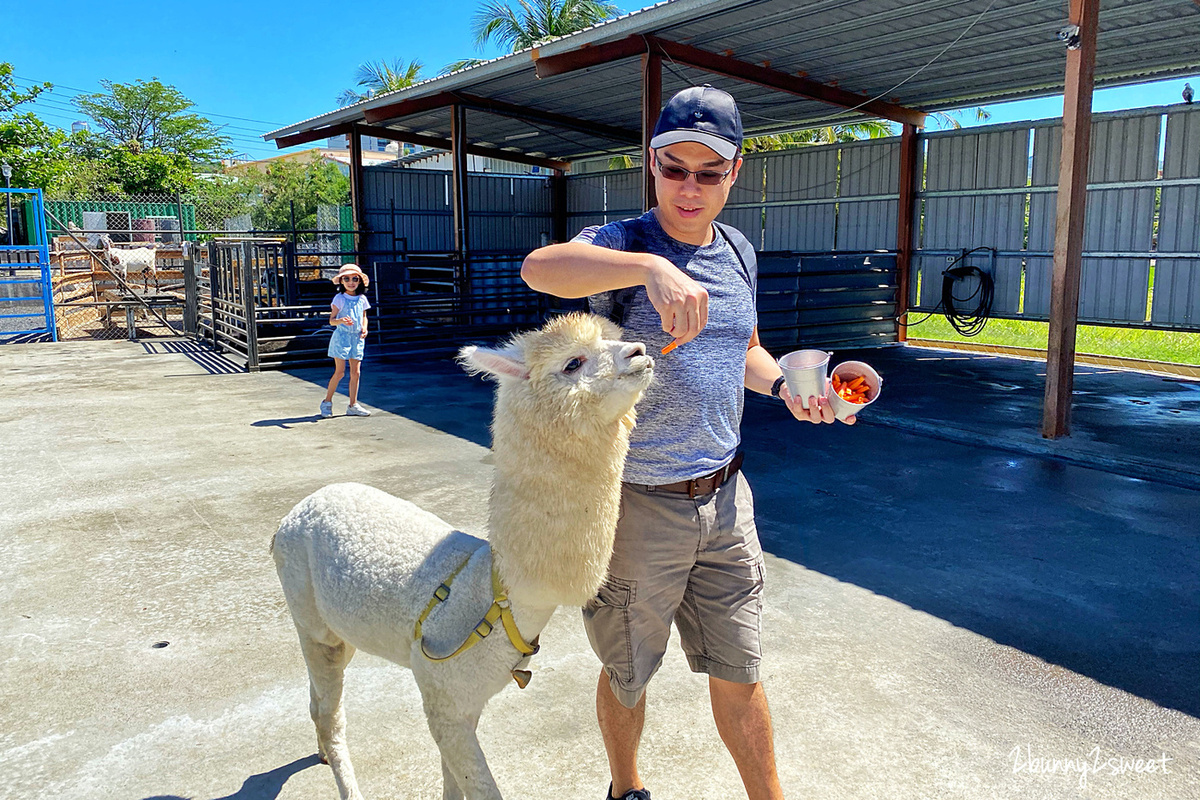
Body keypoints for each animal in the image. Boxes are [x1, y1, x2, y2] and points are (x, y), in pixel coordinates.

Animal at [271, 314, 652, 800]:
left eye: (614, 337)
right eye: (573, 362)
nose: (640, 351)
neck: (497, 598)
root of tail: (297, 510)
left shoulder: (462, 704)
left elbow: (455, 783)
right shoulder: (443, 696)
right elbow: (482, 788)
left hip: (340, 628)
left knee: (318, 699)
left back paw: (319, 752)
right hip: (309, 618)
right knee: (330, 712)